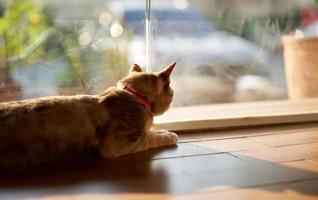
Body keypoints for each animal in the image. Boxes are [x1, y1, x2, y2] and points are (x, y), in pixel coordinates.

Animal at [0, 62, 179, 170]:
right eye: (171, 93)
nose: (173, 94)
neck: (133, 96)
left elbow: (152, 131)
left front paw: (162, 130)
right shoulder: (120, 144)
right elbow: (151, 137)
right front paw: (169, 135)